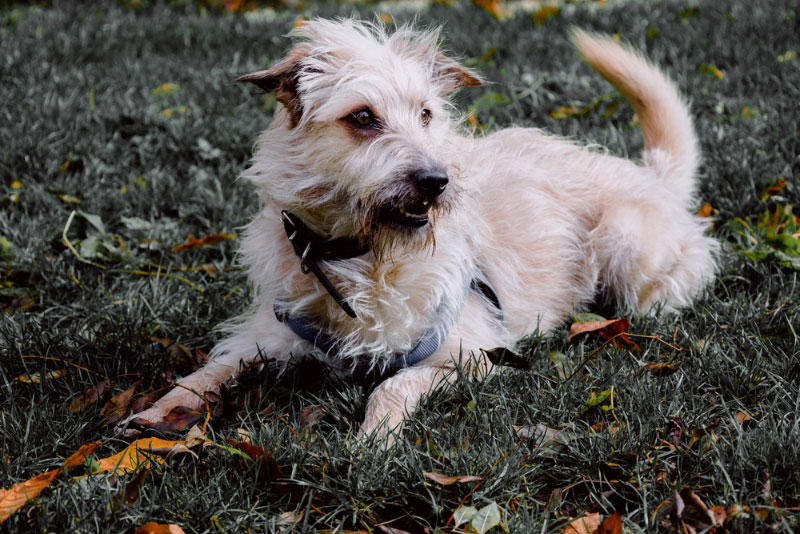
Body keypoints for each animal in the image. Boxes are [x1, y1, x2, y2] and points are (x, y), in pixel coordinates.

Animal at [126, 19, 720, 440]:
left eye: (427, 114)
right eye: (363, 117)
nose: (437, 181)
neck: (358, 255)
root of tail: (651, 175)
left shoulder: (469, 351)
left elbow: (394, 383)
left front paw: (374, 438)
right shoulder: (269, 334)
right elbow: (210, 370)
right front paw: (160, 411)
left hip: (622, 240)